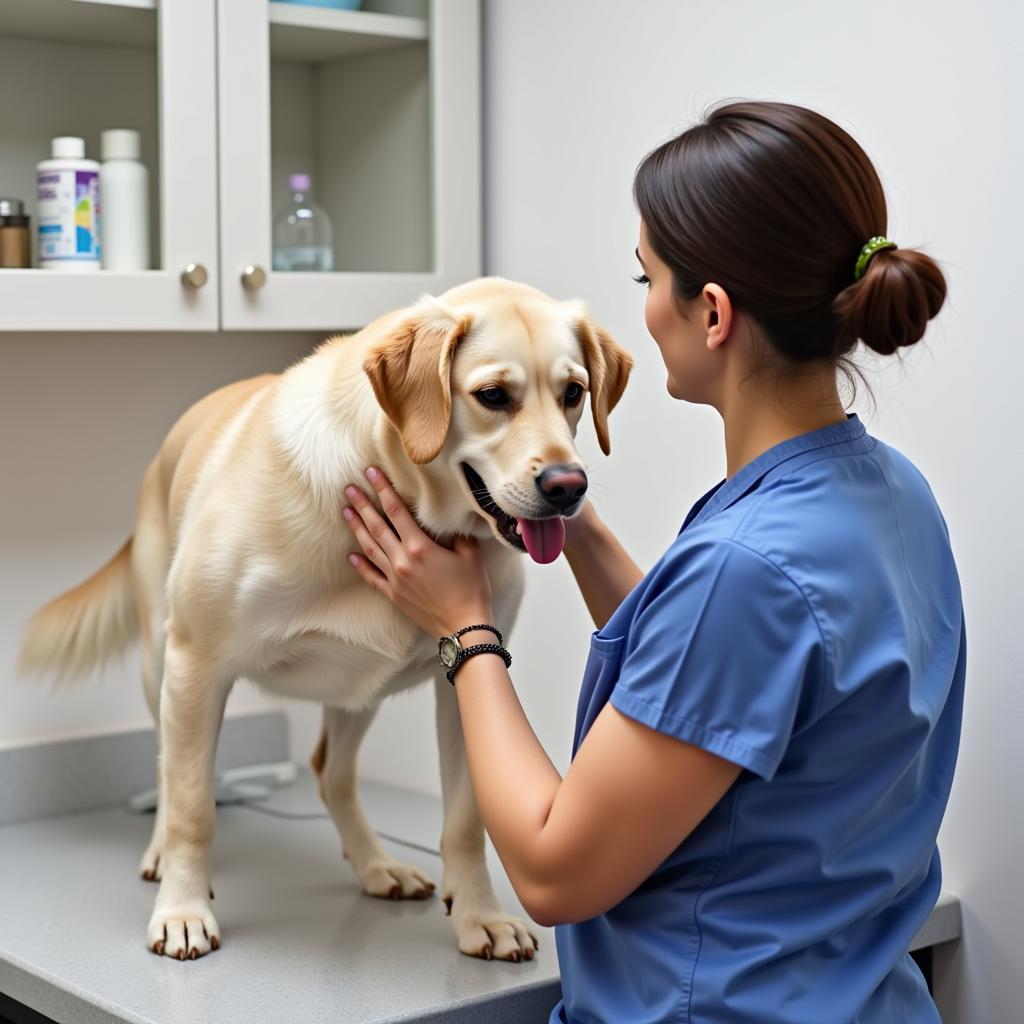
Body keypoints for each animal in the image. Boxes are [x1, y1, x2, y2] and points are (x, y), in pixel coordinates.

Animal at [18, 274, 630, 958]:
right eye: (493, 396)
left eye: (573, 393)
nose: (568, 487)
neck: (387, 481)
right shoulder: (196, 666)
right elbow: (192, 807)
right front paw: (181, 910)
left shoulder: (465, 684)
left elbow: (467, 821)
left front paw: (481, 916)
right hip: (160, 666)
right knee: (169, 766)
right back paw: (159, 856)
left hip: (358, 690)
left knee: (330, 773)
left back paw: (376, 865)